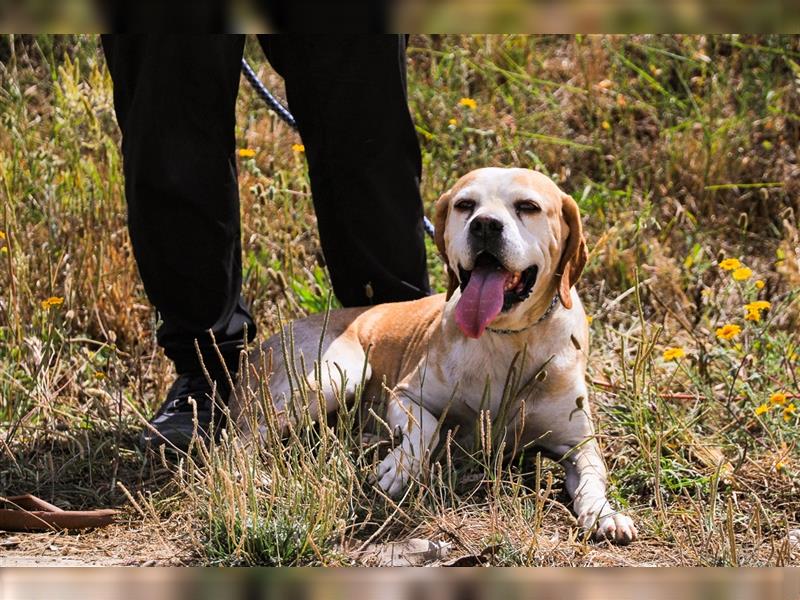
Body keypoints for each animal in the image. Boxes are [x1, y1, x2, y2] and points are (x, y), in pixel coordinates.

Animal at [230, 168, 636, 544]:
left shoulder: (577, 442)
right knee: (239, 440)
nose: (485, 225)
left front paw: (605, 514)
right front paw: (399, 467)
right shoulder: (406, 394)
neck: (508, 339)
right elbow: (427, 429)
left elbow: (592, 477)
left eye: (528, 207)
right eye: (465, 205)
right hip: (335, 375)